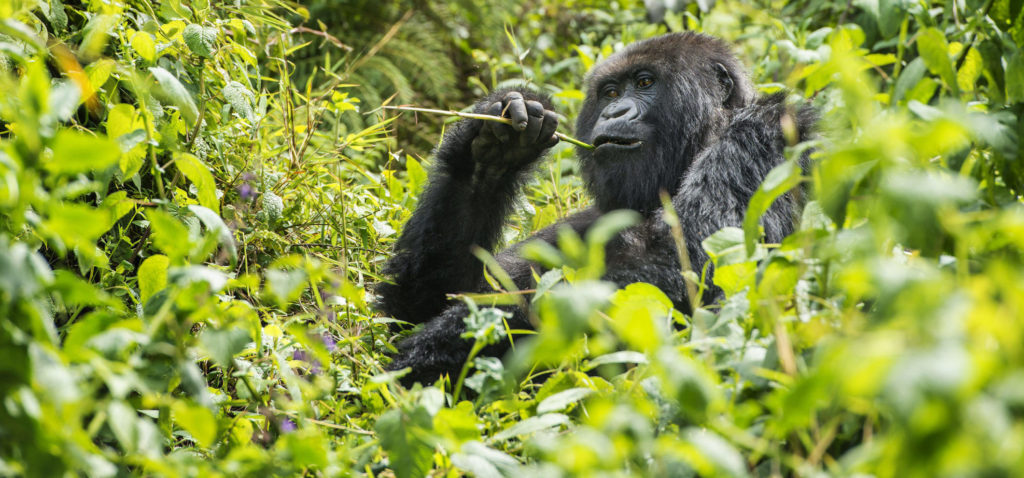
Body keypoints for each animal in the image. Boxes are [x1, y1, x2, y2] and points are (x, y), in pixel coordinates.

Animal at [376, 32, 815, 384]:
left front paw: (434, 351)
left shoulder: (763, 136)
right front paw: (493, 148)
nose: (614, 112)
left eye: (644, 82)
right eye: (610, 93)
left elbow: (687, 265)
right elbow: (420, 304)